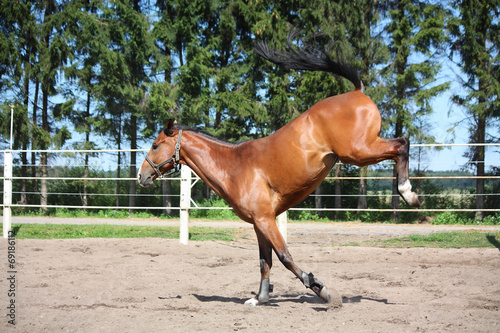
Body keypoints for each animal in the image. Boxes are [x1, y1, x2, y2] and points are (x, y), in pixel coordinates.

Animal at [137, 37, 418, 304]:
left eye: (155, 145)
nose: (141, 175)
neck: (234, 166)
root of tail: (357, 91)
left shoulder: (265, 219)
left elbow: (284, 257)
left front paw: (321, 289)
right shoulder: (259, 223)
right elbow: (265, 262)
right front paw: (260, 298)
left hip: (359, 151)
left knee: (401, 144)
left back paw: (408, 193)